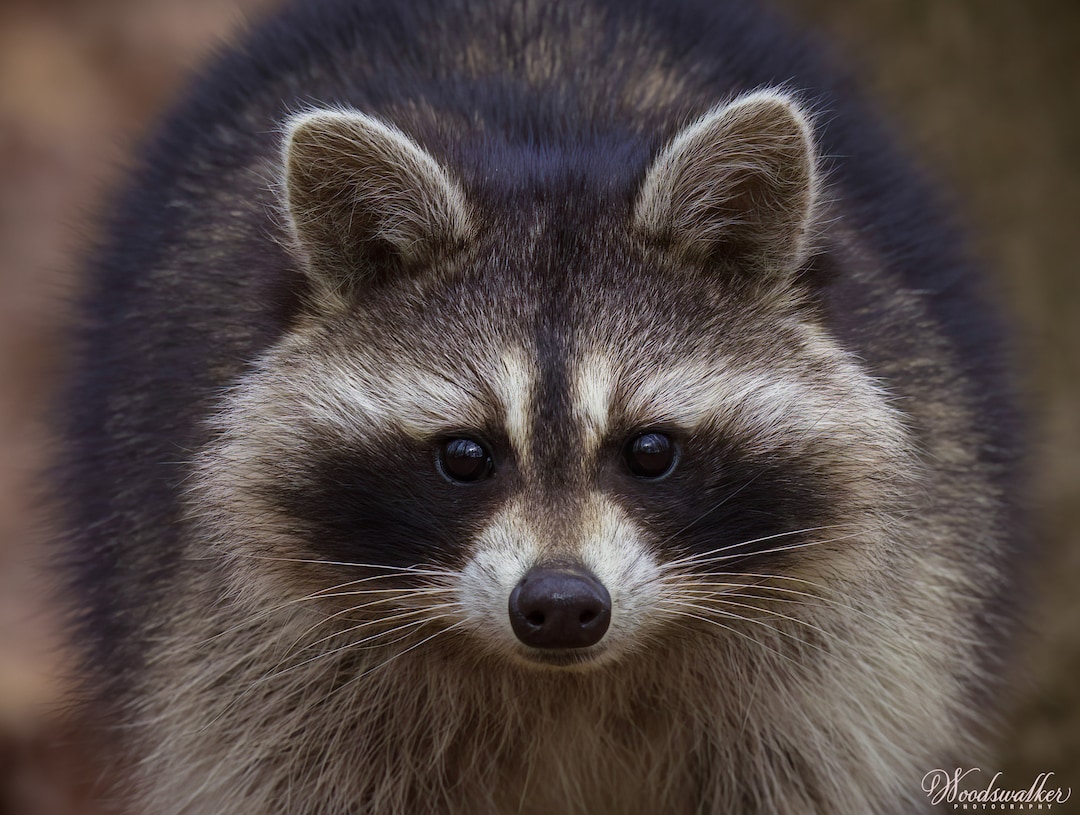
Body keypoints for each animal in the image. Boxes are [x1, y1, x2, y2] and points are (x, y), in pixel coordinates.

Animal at [58, 0, 1024, 813]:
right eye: (465, 456)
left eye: (650, 450)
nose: (560, 603)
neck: (566, 681)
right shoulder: (259, 672)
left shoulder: (847, 668)